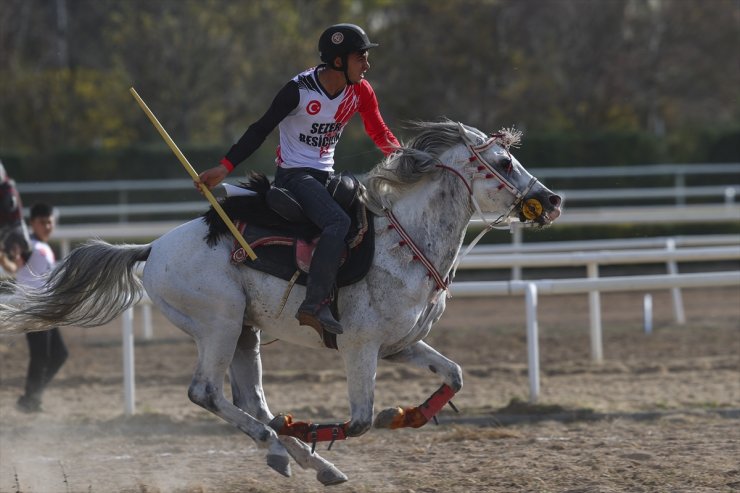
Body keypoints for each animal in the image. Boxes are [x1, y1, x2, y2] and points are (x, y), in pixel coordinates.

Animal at [0, 120, 560, 484]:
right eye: (504, 161)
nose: (552, 200)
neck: (402, 243)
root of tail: (152, 248)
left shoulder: (401, 345)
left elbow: (455, 375)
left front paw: (408, 416)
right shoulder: (360, 347)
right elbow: (361, 420)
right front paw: (348, 423)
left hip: (244, 335)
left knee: (252, 403)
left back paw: (305, 456)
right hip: (219, 324)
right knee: (206, 393)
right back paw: (281, 447)